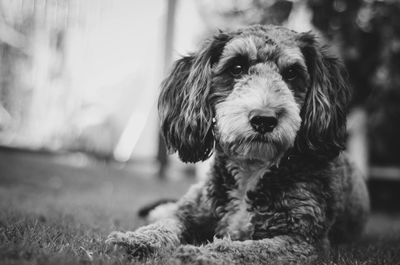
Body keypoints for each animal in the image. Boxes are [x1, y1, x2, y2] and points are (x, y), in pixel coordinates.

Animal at [105, 24, 368, 264]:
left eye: (292, 73)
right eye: (237, 68)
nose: (264, 119)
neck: (251, 171)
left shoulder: (303, 242)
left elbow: (247, 249)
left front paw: (199, 254)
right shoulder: (191, 212)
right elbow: (167, 223)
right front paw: (136, 240)